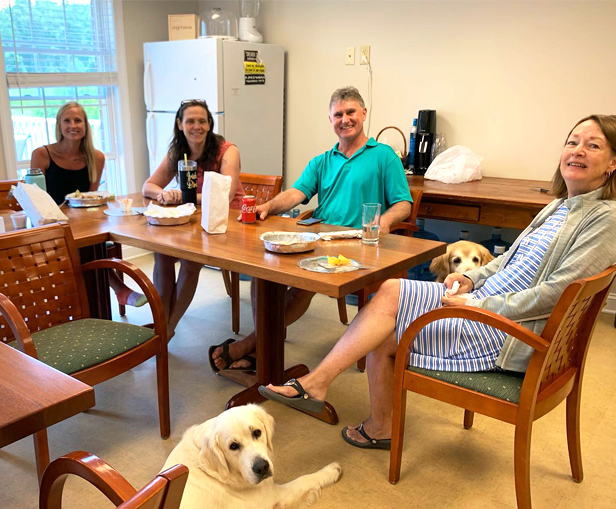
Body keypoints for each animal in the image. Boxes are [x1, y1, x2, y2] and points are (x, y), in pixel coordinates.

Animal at [161, 402, 342, 506]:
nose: (262, 468)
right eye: (233, 446)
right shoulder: (272, 497)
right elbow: (303, 480)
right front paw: (330, 471)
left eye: (257, 432)